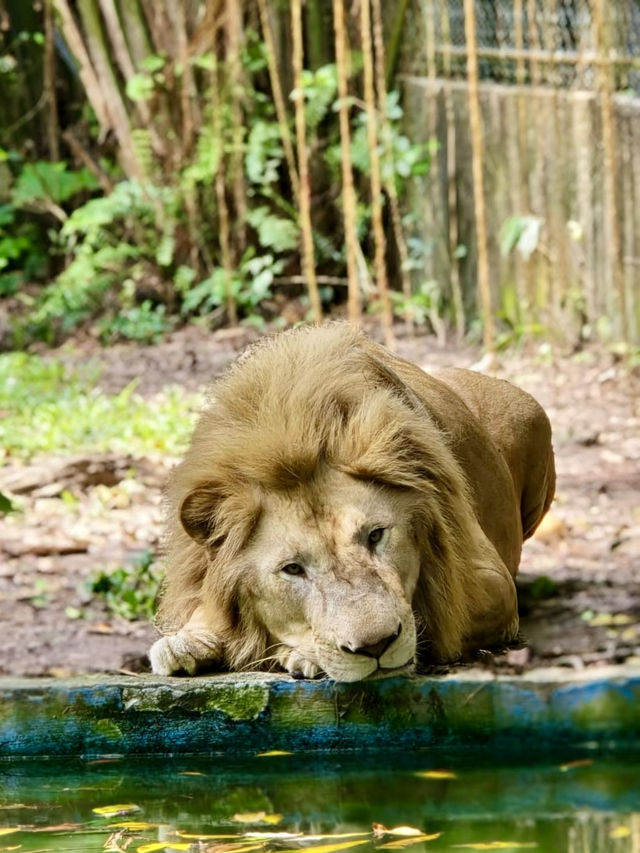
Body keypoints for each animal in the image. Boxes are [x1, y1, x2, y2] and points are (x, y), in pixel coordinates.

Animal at [151, 322, 556, 684]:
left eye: (375, 535)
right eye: (293, 569)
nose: (375, 646)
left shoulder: (488, 582)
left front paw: (299, 654)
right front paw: (184, 643)